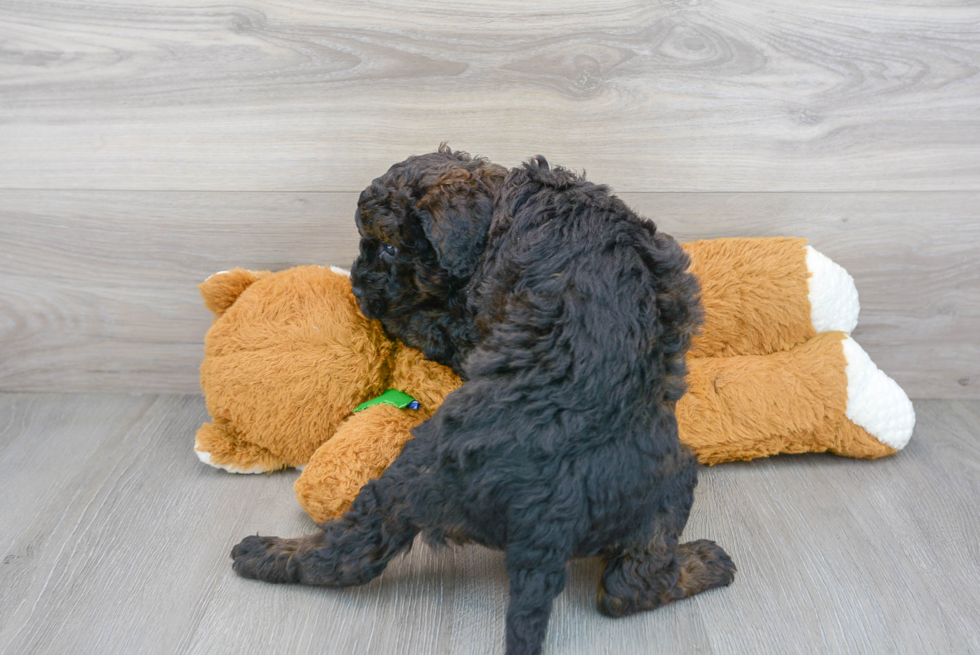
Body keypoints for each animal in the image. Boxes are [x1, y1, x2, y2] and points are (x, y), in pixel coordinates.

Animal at [230, 146, 736, 652]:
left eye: (390, 248)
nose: (357, 287)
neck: (505, 200)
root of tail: (548, 515)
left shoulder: (470, 330)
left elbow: (425, 323)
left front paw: (392, 316)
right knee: (625, 587)